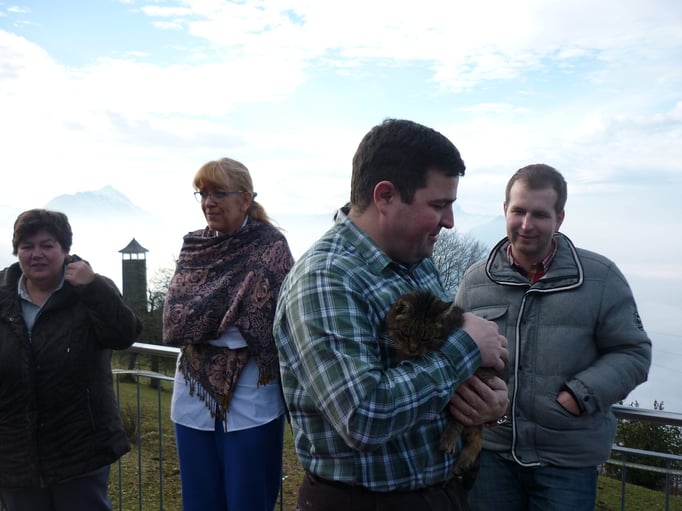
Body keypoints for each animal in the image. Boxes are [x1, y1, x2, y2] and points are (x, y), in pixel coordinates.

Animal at [385, 289, 503, 477]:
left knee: (462, 420)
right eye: (406, 333)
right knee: (476, 436)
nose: (413, 349)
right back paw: (463, 462)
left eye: (426, 338)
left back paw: (450, 440)